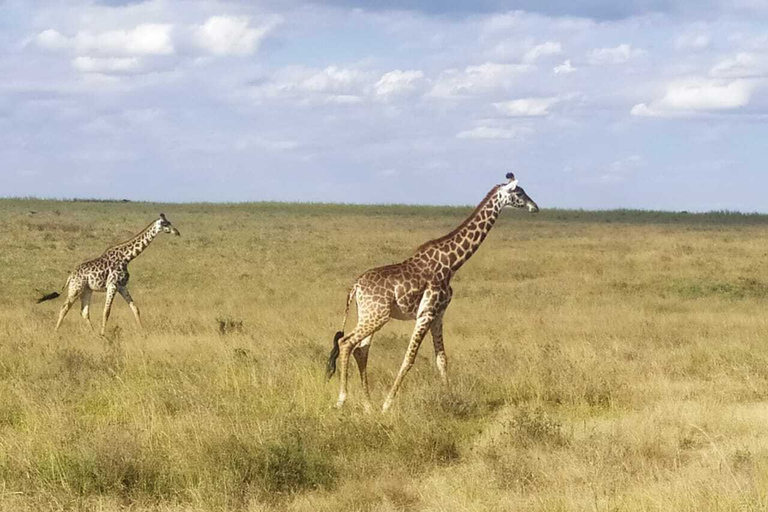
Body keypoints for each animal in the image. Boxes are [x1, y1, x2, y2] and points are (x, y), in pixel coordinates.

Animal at [37, 212, 180, 336]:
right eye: (165, 224)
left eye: (170, 222)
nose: (177, 232)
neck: (126, 257)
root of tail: (71, 275)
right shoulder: (112, 285)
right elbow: (106, 311)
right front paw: (103, 334)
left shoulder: (122, 286)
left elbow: (135, 308)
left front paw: (143, 330)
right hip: (76, 288)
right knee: (64, 307)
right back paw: (56, 331)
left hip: (86, 290)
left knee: (84, 311)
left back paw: (92, 332)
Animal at [328, 173, 536, 412]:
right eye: (519, 192)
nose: (535, 207)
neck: (452, 263)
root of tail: (356, 287)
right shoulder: (426, 313)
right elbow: (409, 359)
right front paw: (388, 405)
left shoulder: (438, 315)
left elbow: (441, 359)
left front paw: (451, 399)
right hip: (377, 316)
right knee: (346, 343)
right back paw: (343, 399)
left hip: (368, 314)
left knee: (360, 351)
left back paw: (368, 405)